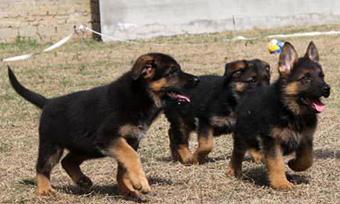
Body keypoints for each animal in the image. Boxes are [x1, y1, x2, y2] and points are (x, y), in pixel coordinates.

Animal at [7, 53, 199, 201]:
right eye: (173, 71)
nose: (197, 80)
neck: (141, 96)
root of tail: (48, 102)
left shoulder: (130, 140)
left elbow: (124, 167)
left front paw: (128, 189)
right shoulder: (109, 137)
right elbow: (132, 157)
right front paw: (140, 182)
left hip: (88, 147)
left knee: (68, 161)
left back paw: (82, 180)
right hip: (52, 146)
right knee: (43, 167)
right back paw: (44, 189)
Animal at [227, 41, 330, 190]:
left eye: (322, 76)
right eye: (306, 78)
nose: (327, 88)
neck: (291, 111)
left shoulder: (305, 138)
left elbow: (307, 159)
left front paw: (294, 164)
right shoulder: (272, 140)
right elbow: (277, 163)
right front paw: (281, 184)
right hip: (243, 135)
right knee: (237, 153)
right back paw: (233, 170)